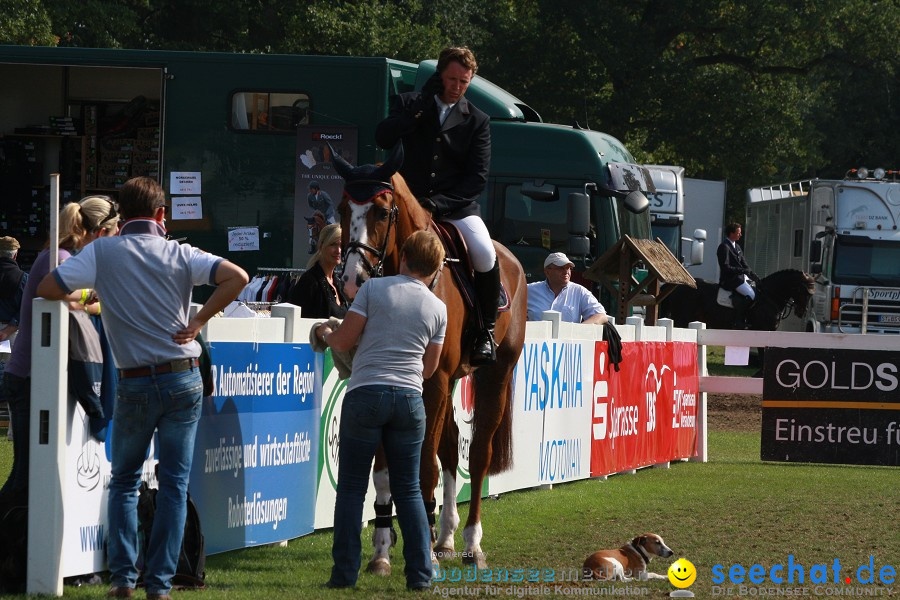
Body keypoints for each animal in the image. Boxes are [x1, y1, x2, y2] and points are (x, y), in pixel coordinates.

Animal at [330, 146, 528, 572]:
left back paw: (471, 543)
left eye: (381, 211)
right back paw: (446, 536)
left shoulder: (433, 382)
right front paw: (382, 549)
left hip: (495, 375)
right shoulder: (387, 380)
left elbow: (423, 466)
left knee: (479, 453)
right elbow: (385, 472)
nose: (351, 280)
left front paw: (417, 546)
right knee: (451, 446)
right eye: (341, 208)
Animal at [660, 268, 816, 330]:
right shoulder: (762, 329)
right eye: (804, 291)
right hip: (682, 319)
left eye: (811, 294)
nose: (802, 312)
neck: (770, 296)